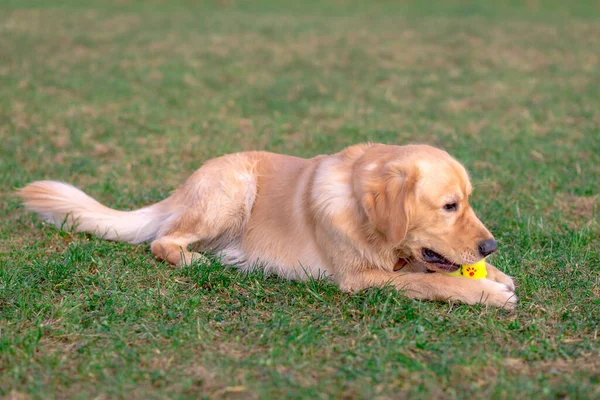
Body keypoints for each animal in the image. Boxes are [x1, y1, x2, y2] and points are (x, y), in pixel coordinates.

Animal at [18, 144, 516, 310]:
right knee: (162, 242)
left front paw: (497, 276)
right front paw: (487, 292)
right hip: (232, 189)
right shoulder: (361, 279)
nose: (490, 246)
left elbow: (433, 271)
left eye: (468, 201)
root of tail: (183, 188)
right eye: (449, 206)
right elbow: (433, 283)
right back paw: (199, 261)